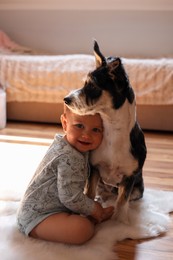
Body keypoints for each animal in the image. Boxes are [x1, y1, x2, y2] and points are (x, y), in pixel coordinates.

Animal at [64, 41, 147, 221]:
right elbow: (88, 193)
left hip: (138, 189)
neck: (112, 128)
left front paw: (119, 223)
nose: (66, 99)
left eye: (92, 86)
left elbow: (122, 203)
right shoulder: (94, 168)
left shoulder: (130, 177)